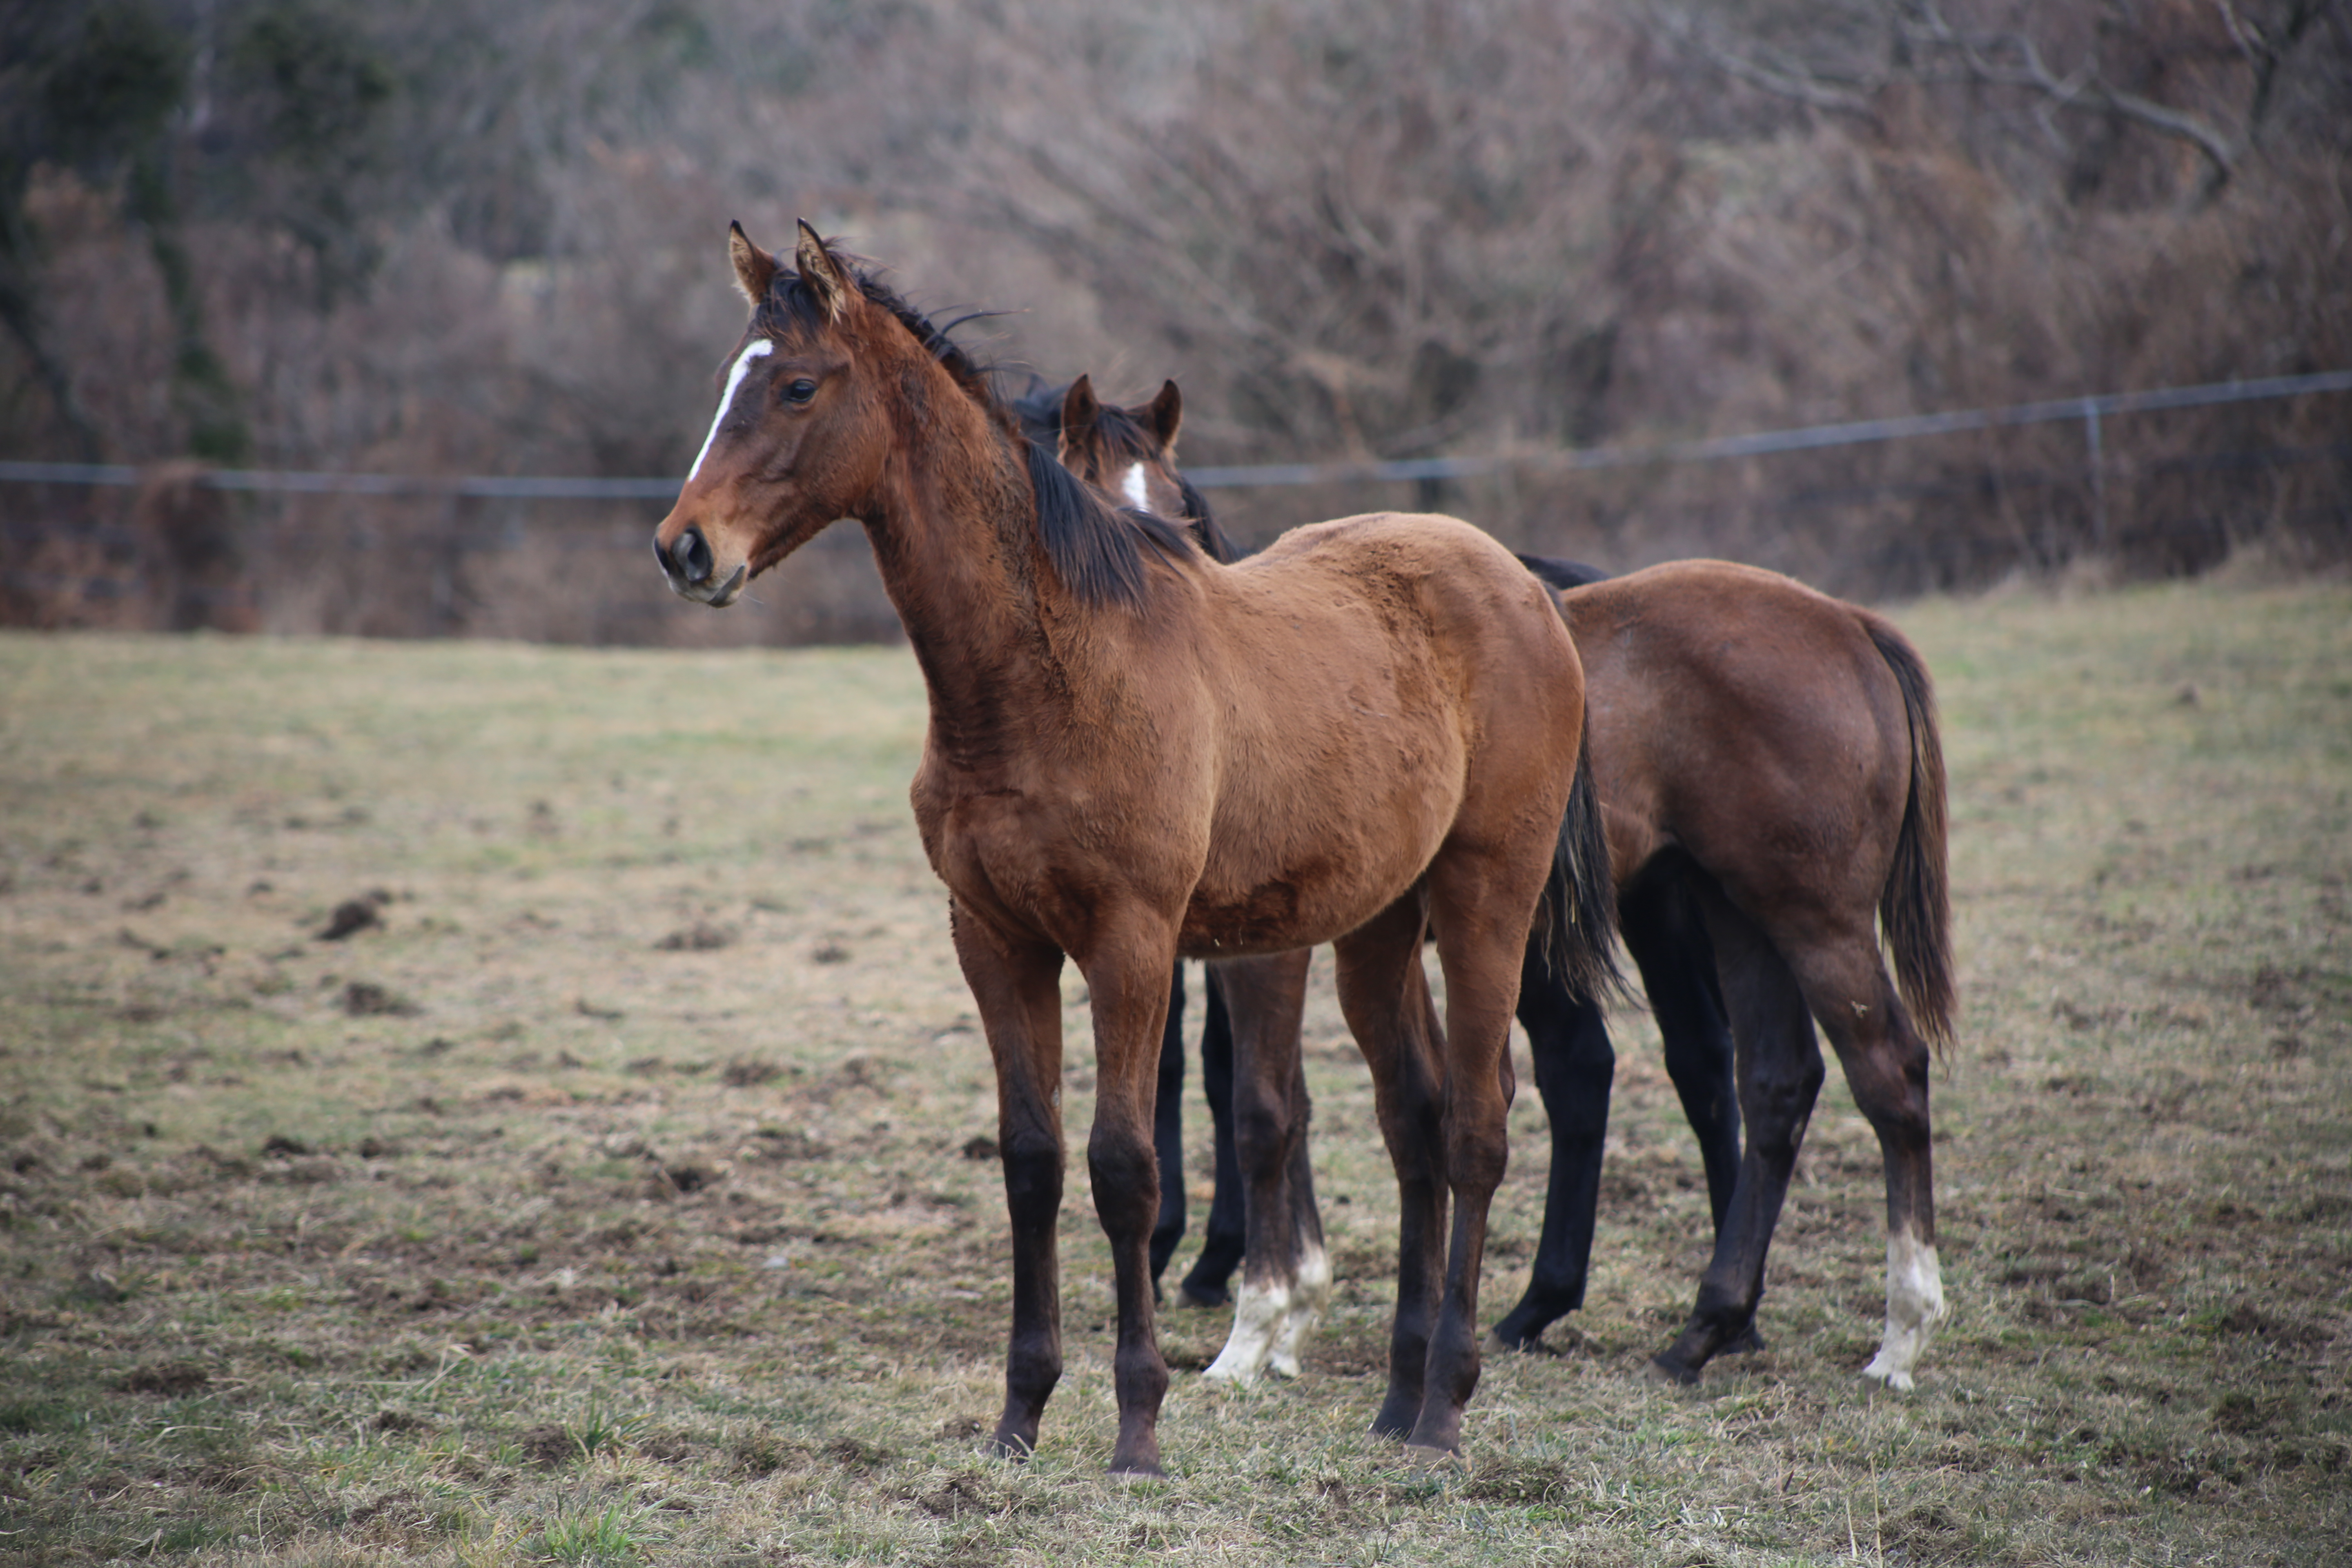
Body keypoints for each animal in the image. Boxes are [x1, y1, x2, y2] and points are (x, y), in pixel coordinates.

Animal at [654, 227, 1627, 1476]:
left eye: (797, 388)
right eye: (735, 378)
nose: (685, 549)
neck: (1051, 671)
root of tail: (1523, 588)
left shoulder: (1132, 941)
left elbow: (1125, 1166)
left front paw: (1138, 1426)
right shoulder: (994, 939)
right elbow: (1030, 1160)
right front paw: (1018, 1417)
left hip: (1484, 899)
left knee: (1473, 1125)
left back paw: (1444, 1408)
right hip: (1374, 927)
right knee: (1411, 1121)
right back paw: (1397, 1397)